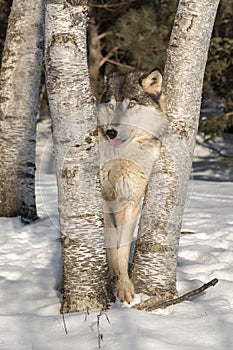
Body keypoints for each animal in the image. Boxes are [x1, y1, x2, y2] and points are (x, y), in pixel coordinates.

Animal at [97, 63, 168, 304]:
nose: (111, 132)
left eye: (132, 104)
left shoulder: (130, 203)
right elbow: (111, 241)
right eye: (111, 105)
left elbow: (121, 247)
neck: (121, 158)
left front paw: (124, 286)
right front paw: (114, 277)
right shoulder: (104, 200)